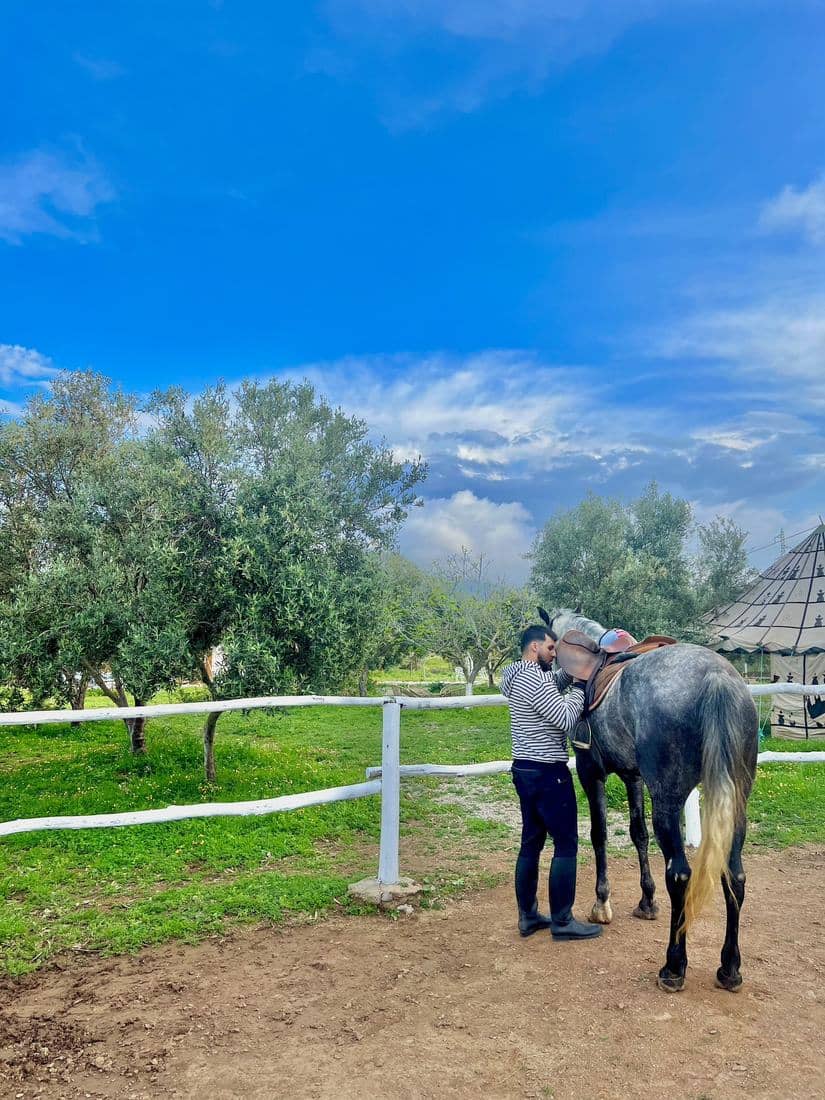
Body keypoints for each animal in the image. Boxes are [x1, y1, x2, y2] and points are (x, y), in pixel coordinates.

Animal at [539, 607, 759, 993]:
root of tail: (716, 677)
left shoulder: (591, 772)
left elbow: (599, 835)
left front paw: (602, 904)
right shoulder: (634, 777)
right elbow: (637, 834)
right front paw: (647, 901)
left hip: (668, 801)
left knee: (681, 875)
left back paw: (673, 967)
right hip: (736, 802)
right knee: (734, 876)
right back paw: (729, 968)